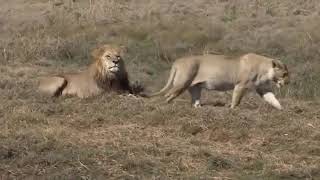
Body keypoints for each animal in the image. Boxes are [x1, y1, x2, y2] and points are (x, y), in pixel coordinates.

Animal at [149, 52, 288, 110]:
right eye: (285, 74)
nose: (288, 82)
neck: (265, 70)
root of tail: (177, 61)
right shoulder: (240, 85)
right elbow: (236, 99)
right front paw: (232, 109)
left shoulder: (263, 88)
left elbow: (272, 99)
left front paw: (281, 109)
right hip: (181, 83)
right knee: (167, 95)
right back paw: (164, 106)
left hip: (195, 87)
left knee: (194, 100)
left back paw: (198, 107)